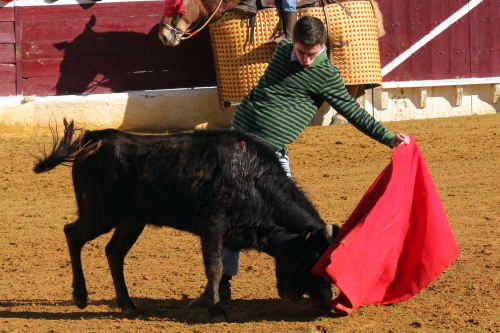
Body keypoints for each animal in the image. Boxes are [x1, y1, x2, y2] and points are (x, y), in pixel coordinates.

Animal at [32, 118, 340, 320]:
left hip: (132, 220)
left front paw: (208, 301)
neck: (252, 179)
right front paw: (216, 310)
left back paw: (128, 305)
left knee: (114, 252)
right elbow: (214, 267)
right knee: (73, 233)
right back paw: (80, 296)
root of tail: (95, 138)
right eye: (310, 259)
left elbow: (218, 267)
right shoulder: (212, 226)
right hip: (101, 214)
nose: (294, 297)